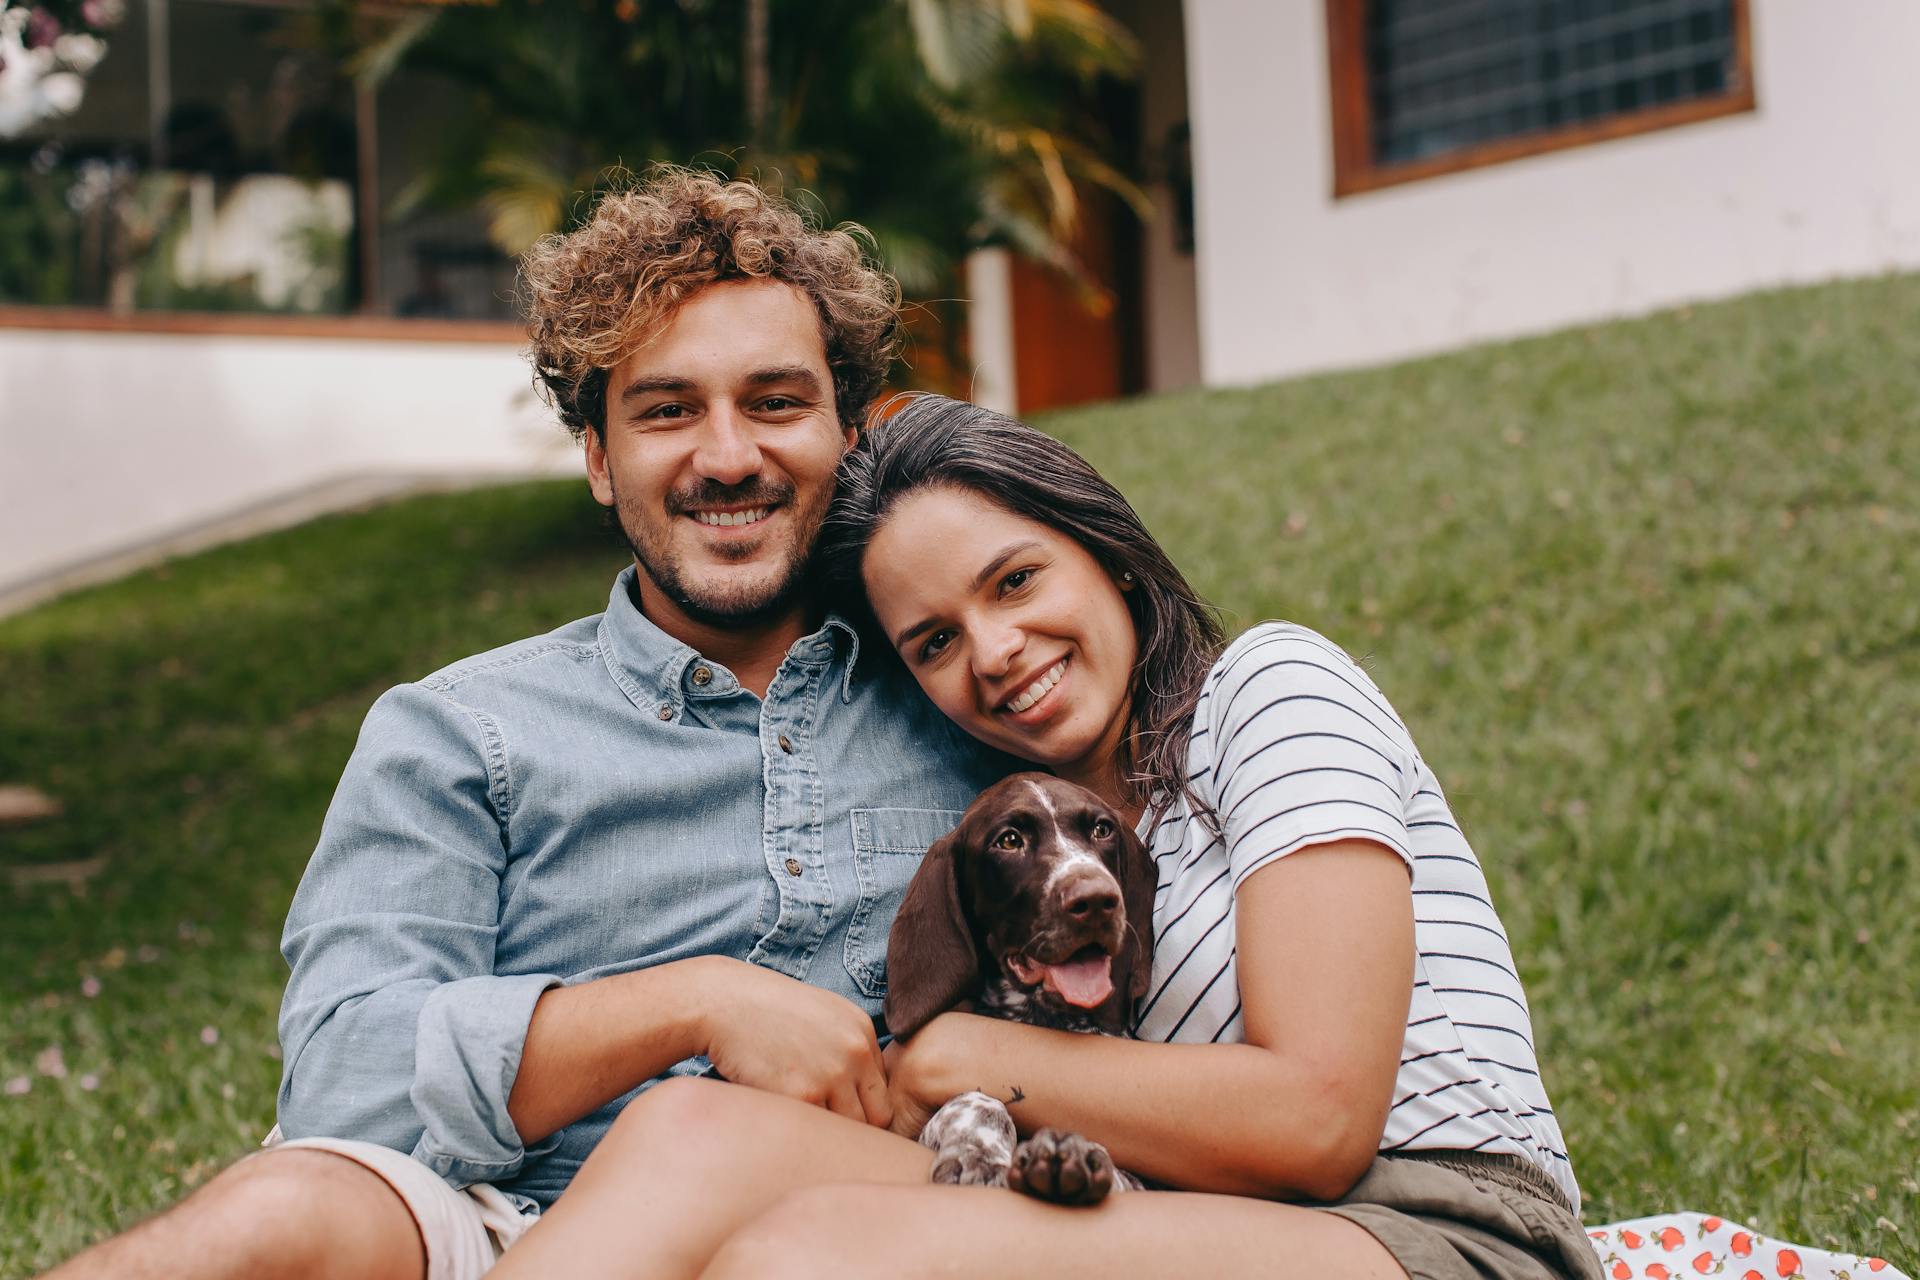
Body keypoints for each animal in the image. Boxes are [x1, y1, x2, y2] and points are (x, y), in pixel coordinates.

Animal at [879, 775, 1152, 1205]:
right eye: (1008, 841)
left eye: (1102, 829)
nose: (1096, 899)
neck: (1044, 1015)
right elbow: (976, 1101)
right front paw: (980, 1152)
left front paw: (1076, 1155)